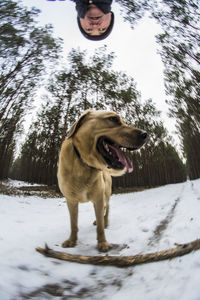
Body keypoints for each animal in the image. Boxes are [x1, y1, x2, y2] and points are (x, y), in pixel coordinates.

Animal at [57, 109, 148, 251]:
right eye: (114, 119)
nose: (146, 134)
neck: (84, 164)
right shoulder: (71, 201)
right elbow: (73, 224)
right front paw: (72, 240)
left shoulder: (98, 198)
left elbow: (100, 225)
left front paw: (102, 243)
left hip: (106, 194)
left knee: (107, 208)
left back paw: (106, 221)